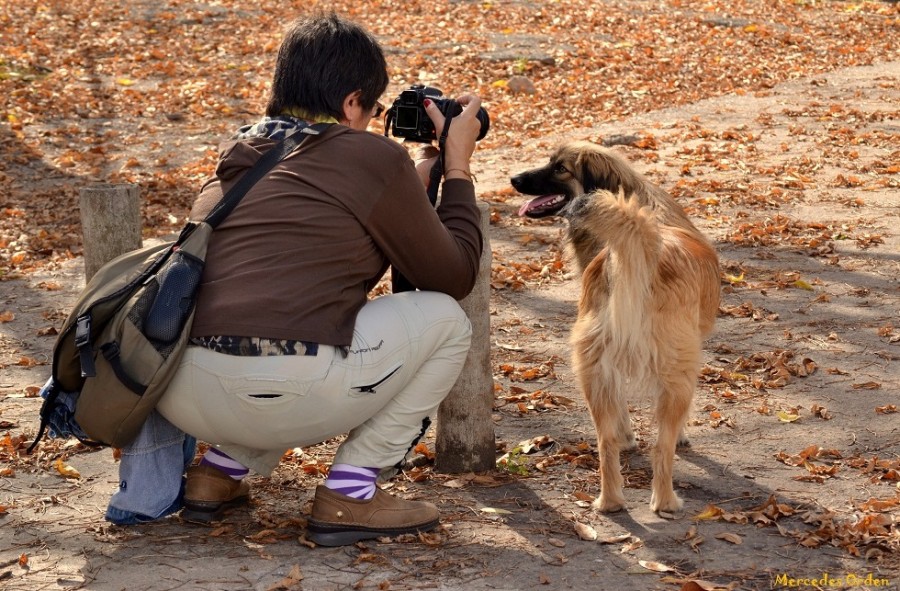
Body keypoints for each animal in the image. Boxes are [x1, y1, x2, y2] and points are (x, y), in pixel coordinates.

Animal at [512, 142, 716, 512]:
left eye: (559, 167)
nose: (514, 179)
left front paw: (627, 437)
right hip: (675, 369)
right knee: (661, 446)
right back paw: (665, 502)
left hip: (592, 370)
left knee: (604, 443)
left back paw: (610, 501)